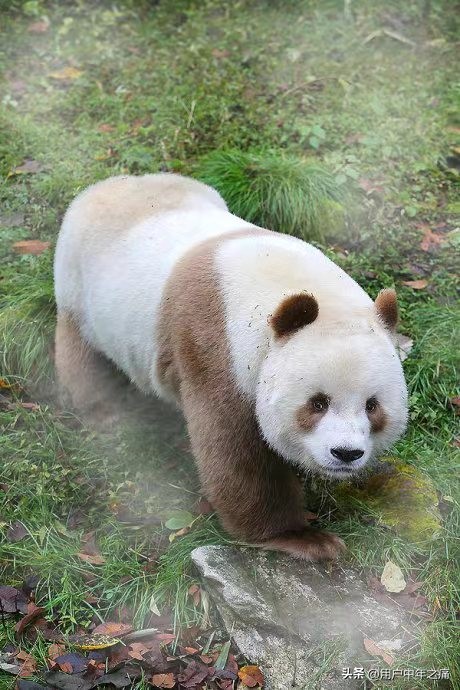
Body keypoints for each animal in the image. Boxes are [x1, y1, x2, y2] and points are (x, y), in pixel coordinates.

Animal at [54, 173, 408, 560]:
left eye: (372, 405)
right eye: (317, 402)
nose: (346, 453)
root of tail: (107, 185)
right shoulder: (217, 348)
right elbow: (235, 451)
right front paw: (302, 538)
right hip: (81, 286)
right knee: (83, 354)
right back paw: (103, 410)